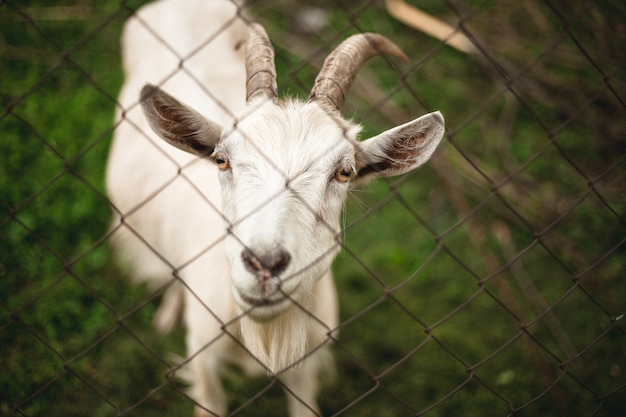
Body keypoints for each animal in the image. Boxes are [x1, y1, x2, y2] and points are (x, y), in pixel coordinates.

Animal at [105, 0, 442, 416]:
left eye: (344, 172)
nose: (264, 264)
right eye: (222, 160)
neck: (265, 333)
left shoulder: (307, 363)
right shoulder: (203, 356)